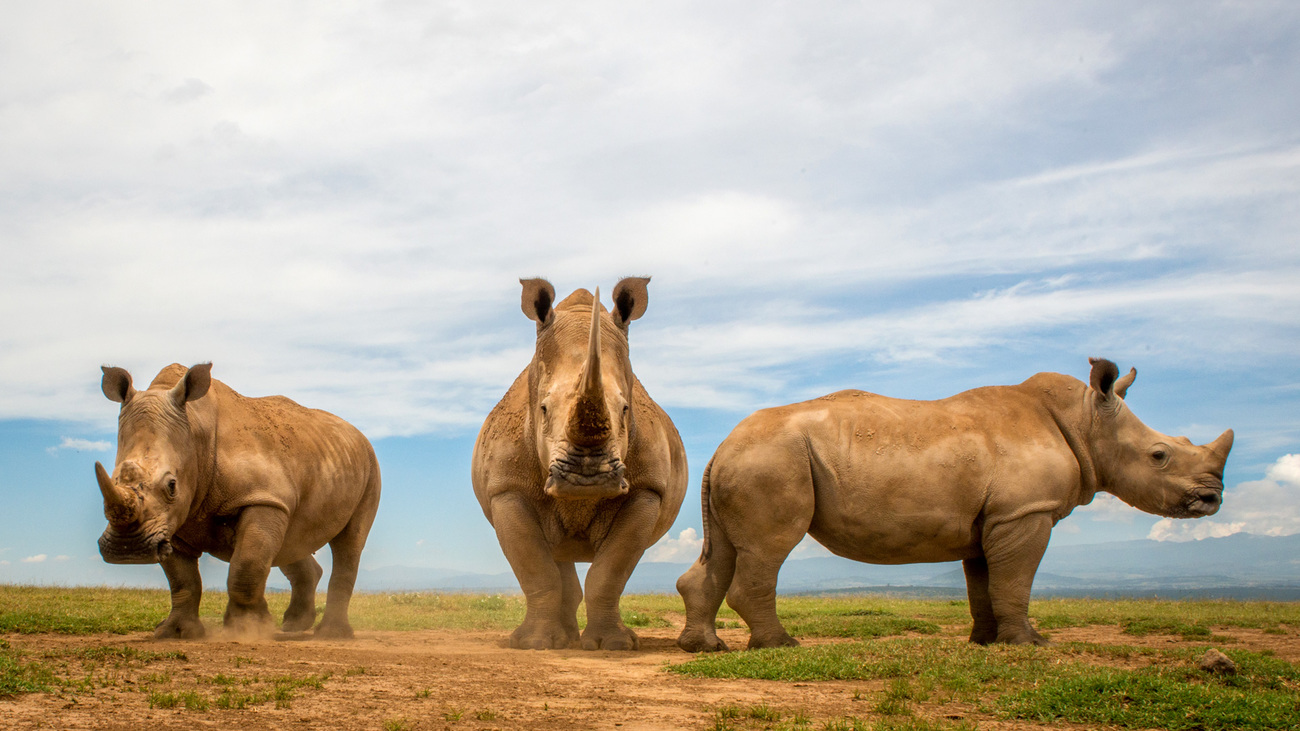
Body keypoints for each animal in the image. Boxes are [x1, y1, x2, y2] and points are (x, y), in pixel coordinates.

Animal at [94, 361, 379, 634]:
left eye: (172, 486)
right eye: (113, 479)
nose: (127, 549)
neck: (196, 430)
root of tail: (357, 434)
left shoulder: (262, 497)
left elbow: (247, 565)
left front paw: (248, 629)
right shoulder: (171, 520)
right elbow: (182, 580)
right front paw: (174, 632)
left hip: (370, 468)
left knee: (349, 544)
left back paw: (332, 633)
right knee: (292, 539)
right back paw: (293, 627)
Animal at [470, 277, 691, 647]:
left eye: (626, 409)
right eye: (543, 409)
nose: (587, 478)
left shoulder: (647, 491)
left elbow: (609, 573)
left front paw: (613, 646)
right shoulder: (506, 489)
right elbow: (537, 570)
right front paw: (533, 645)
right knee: (556, 556)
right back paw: (562, 640)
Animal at [676, 356, 1232, 645]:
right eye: (1160, 455)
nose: (1213, 498)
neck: (1085, 420)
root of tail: (721, 446)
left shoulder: (993, 519)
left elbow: (984, 583)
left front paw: (985, 641)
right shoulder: (1025, 513)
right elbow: (1014, 581)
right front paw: (1030, 644)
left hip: (752, 459)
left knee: (726, 550)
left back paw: (707, 648)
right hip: (772, 460)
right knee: (769, 548)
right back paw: (781, 645)